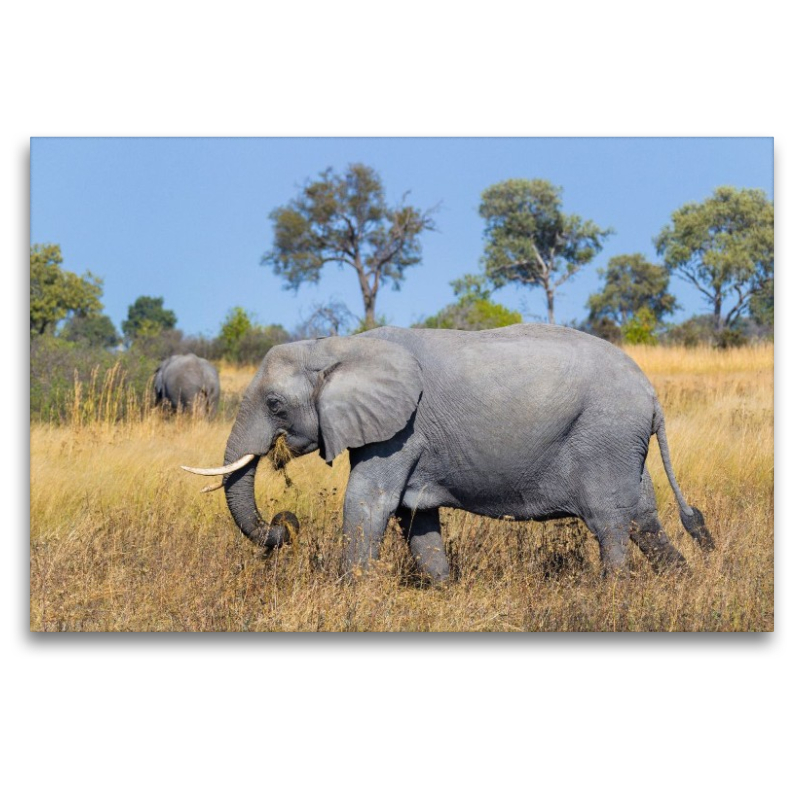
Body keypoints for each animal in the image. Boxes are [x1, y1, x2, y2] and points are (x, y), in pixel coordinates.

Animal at [182, 324, 714, 583]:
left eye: (275, 404)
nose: (283, 525)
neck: (336, 345)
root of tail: (652, 396)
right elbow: (414, 517)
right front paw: (443, 590)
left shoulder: (402, 430)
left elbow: (367, 504)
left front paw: (351, 595)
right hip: (623, 444)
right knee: (643, 517)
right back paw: (683, 584)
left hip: (604, 435)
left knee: (610, 523)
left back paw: (614, 594)